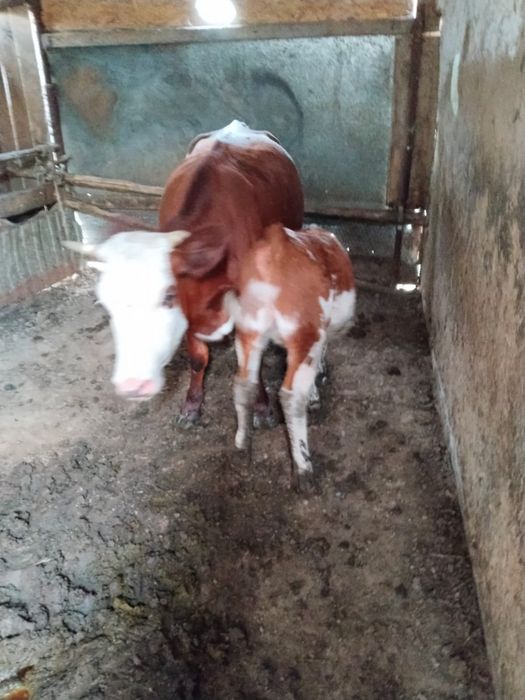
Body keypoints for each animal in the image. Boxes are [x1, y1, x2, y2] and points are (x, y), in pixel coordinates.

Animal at [64, 121, 304, 425]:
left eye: (168, 295)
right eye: (107, 307)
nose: (132, 385)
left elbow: (251, 362)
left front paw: (262, 408)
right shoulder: (193, 305)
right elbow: (198, 358)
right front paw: (191, 405)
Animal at [225, 223, 356, 491]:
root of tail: (277, 245)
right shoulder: (319, 336)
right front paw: (316, 392)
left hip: (247, 330)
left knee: (244, 385)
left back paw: (242, 447)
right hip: (306, 334)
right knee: (291, 397)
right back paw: (304, 470)